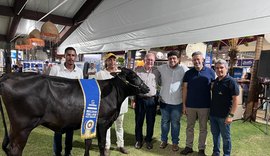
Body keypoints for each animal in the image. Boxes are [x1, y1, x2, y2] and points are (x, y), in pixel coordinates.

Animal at [0, 67, 150, 156]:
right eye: (133, 75)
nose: (147, 88)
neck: (114, 92)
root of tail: (9, 76)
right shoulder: (103, 122)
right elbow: (101, 144)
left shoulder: (92, 121)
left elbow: (88, 142)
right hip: (23, 127)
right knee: (15, 150)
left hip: (15, 127)